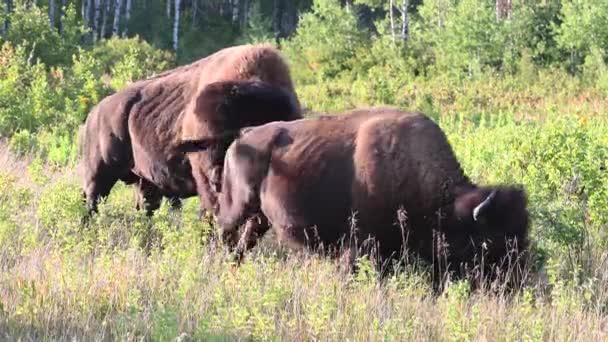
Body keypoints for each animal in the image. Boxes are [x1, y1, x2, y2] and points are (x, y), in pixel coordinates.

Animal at [78, 43, 302, 219]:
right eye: (207, 141)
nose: (217, 176)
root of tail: (94, 113)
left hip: (144, 182)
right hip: (98, 174)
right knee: (92, 202)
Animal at [211, 106, 528, 286]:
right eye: (491, 242)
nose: (516, 281)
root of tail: (243, 136)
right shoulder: (360, 244)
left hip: (260, 218)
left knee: (244, 240)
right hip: (236, 207)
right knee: (222, 230)